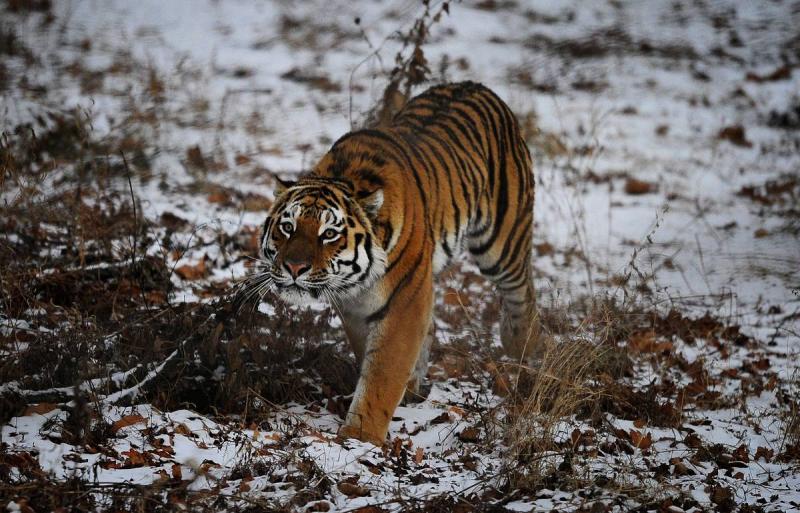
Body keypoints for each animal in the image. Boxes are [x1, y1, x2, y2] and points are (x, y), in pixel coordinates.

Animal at [256, 82, 540, 446]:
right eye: (288, 227)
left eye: (329, 233)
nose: (294, 268)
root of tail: (477, 86)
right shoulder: (356, 307)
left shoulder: (404, 302)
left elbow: (382, 374)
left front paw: (359, 437)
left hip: (502, 244)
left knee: (522, 294)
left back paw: (522, 348)